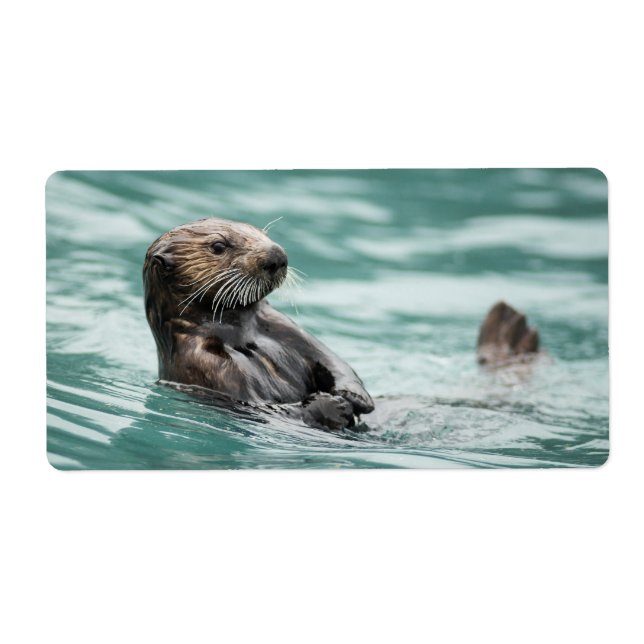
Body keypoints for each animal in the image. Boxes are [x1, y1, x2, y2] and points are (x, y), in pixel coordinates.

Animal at [143, 218, 539, 431]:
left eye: (260, 231)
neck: (241, 334)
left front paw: (354, 396)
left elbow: (333, 360)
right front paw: (333, 407)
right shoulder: (206, 364)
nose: (277, 255)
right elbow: (267, 408)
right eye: (218, 246)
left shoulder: (282, 326)